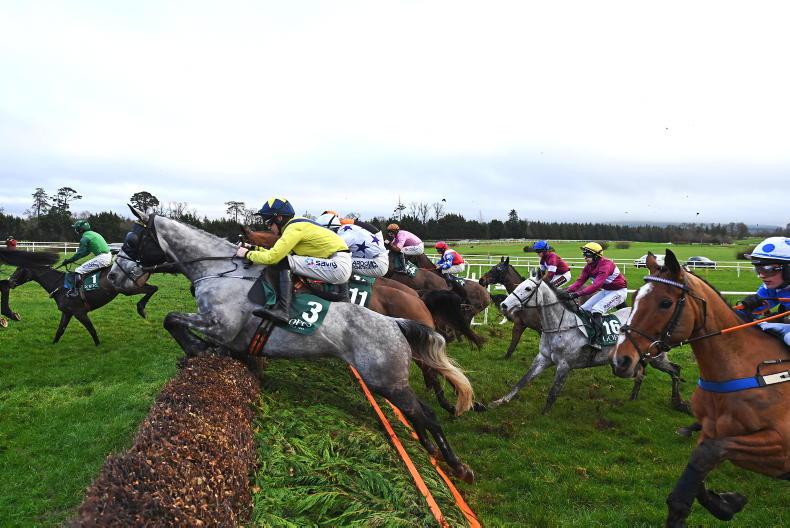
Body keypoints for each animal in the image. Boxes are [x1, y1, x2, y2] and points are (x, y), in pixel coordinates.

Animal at [1, 247, 159, 346]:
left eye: (19, 268)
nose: (10, 282)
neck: (60, 285)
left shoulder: (79, 312)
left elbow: (92, 329)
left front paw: (98, 345)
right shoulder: (67, 312)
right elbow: (60, 330)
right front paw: (53, 345)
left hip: (128, 289)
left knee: (153, 288)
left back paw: (141, 309)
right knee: (152, 288)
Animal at [106, 208, 475, 481]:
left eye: (132, 240)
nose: (112, 276)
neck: (219, 270)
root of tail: (396, 323)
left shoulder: (221, 324)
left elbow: (172, 319)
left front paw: (196, 350)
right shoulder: (229, 333)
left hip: (386, 379)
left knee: (427, 413)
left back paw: (457, 464)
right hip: (389, 382)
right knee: (418, 413)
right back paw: (430, 450)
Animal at [492, 272, 690, 414]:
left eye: (527, 288)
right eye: (517, 286)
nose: (503, 305)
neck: (560, 326)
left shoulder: (564, 365)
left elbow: (552, 394)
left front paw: (543, 416)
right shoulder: (543, 358)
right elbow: (522, 381)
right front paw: (500, 401)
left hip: (657, 357)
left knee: (675, 370)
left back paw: (678, 402)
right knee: (641, 373)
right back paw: (633, 398)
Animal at [610, 250, 789, 526]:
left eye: (665, 303)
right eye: (636, 294)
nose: (621, 360)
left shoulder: (782, 448)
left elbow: (706, 454)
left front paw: (724, 503)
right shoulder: (714, 432)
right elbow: (697, 468)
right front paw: (726, 502)